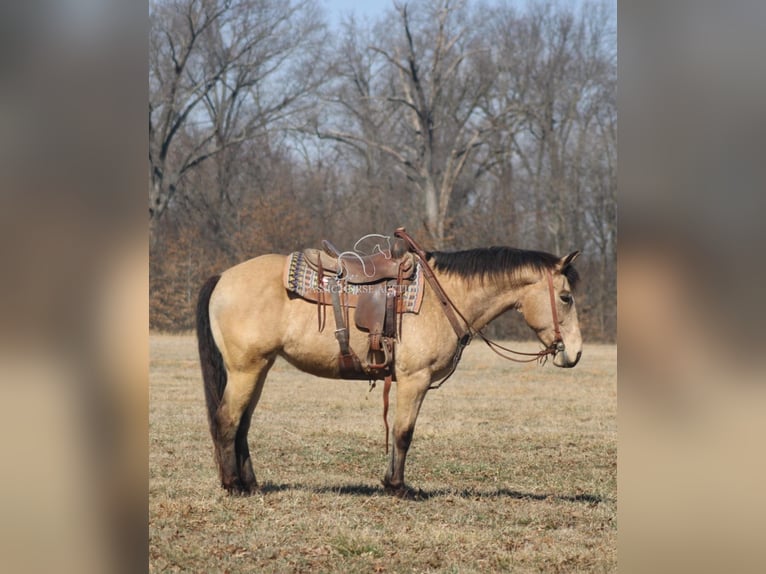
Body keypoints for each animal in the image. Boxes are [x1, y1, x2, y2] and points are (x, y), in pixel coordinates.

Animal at [196, 227, 584, 498]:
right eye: (566, 297)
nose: (575, 352)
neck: (444, 297)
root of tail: (223, 278)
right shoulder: (415, 379)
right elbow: (402, 432)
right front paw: (397, 486)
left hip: (259, 369)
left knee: (242, 424)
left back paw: (250, 483)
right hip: (246, 369)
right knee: (227, 420)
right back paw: (233, 485)